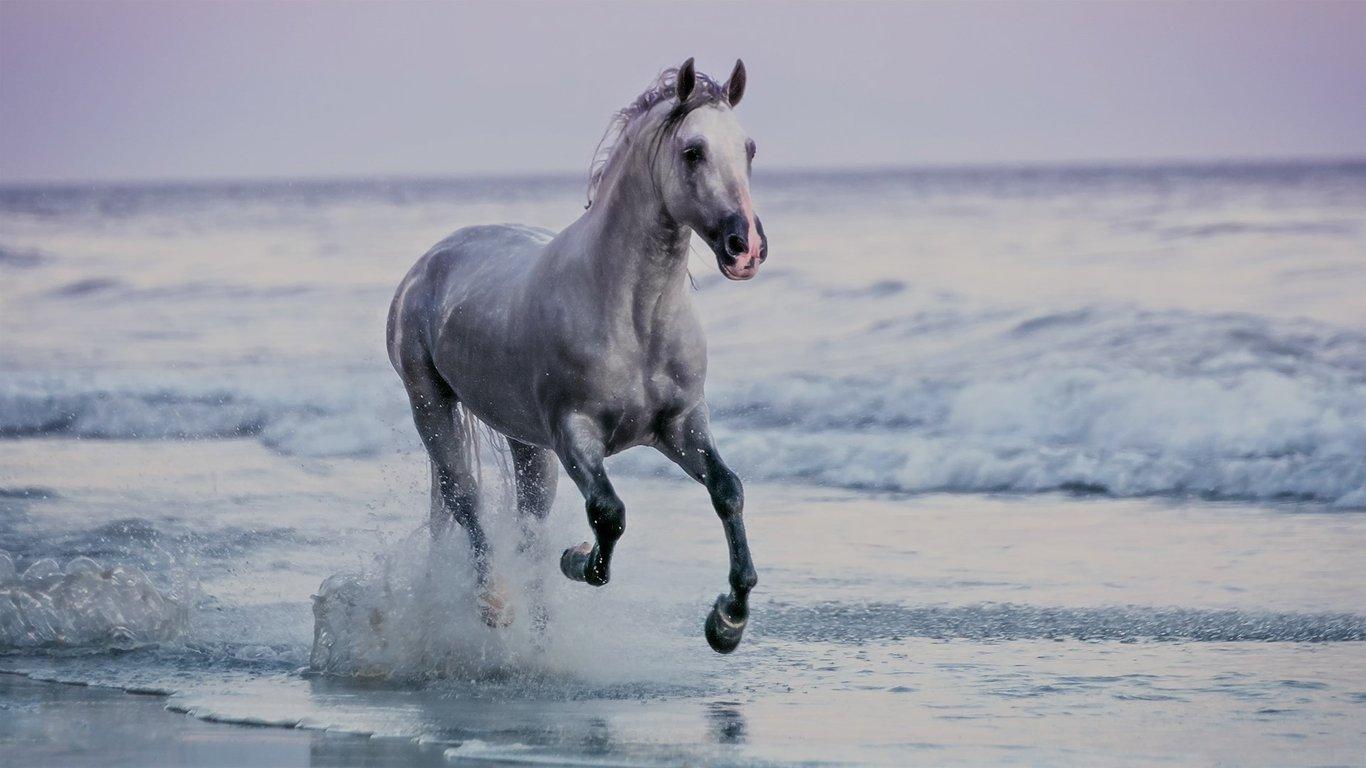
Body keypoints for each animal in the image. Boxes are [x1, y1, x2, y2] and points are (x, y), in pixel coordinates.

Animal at [387, 56, 770, 647]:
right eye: (693, 151)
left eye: (748, 148)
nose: (745, 247)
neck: (634, 317)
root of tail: (427, 264)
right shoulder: (575, 434)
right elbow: (608, 514)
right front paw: (578, 558)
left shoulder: (681, 425)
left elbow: (728, 490)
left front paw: (727, 622)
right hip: (432, 407)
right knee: (465, 500)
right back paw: (494, 603)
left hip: (526, 444)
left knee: (527, 523)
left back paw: (539, 634)